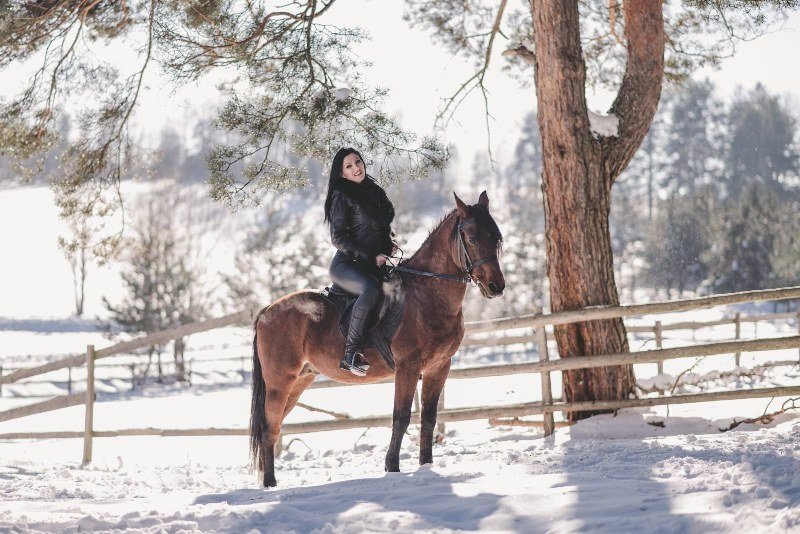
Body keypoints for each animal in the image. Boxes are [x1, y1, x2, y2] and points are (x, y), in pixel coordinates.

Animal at [250, 194, 504, 490]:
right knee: (269, 428)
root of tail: (268, 310)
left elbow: (429, 418)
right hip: (279, 382)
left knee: (274, 425)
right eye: (472, 239)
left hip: (300, 380)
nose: (496, 286)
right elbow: (401, 416)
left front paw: (426, 467)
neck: (427, 296)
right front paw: (392, 467)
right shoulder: (408, 366)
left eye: (496, 238)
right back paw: (270, 484)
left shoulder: (439, 367)